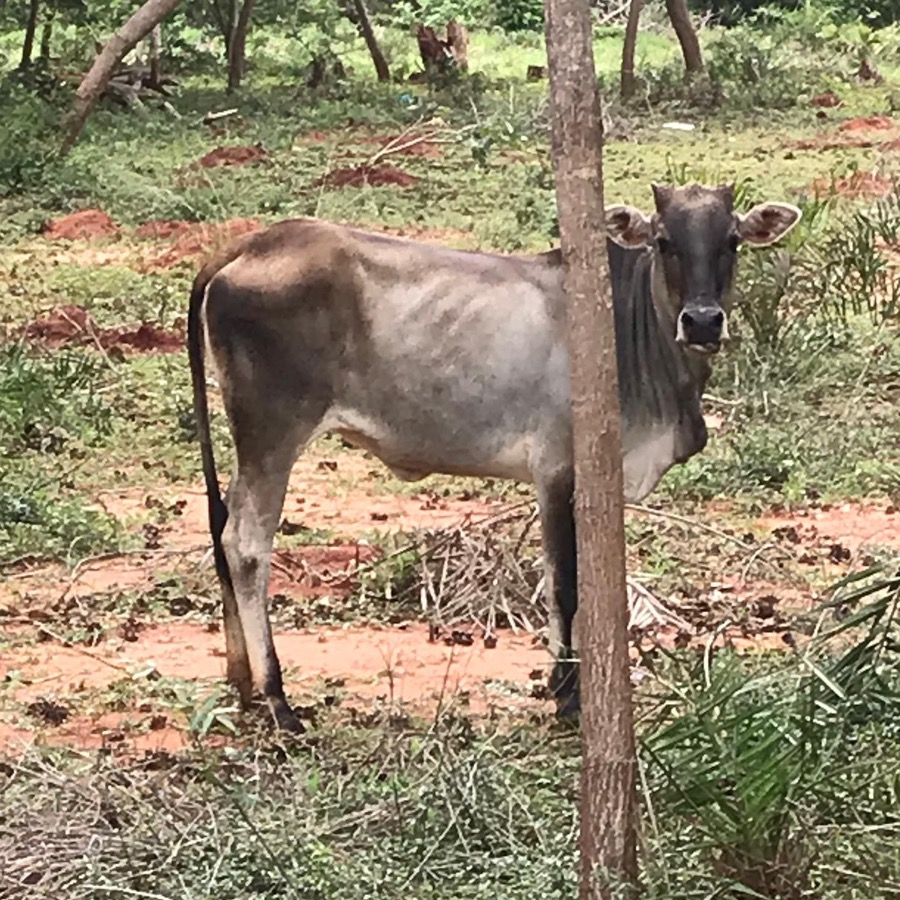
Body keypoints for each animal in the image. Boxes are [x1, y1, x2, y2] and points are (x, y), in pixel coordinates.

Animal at [187, 183, 801, 731]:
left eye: (731, 240)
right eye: (665, 241)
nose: (702, 321)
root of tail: (250, 246)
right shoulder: (557, 471)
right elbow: (565, 587)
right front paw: (567, 697)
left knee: (223, 531)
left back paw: (243, 685)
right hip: (272, 433)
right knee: (245, 545)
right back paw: (277, 698)